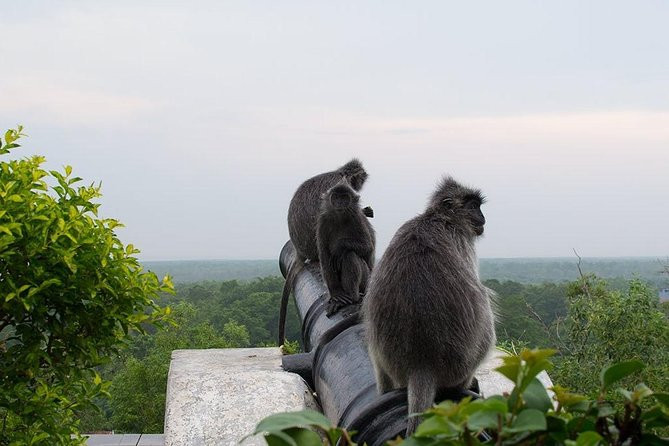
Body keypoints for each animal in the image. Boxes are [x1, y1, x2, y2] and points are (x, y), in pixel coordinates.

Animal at [317, 181, 376, 317]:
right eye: (336, 197)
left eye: (344, 197)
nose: (339, 203)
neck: (340, 218)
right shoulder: (323, 221)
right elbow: (324, 255)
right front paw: (336, 292)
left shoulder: (357, 218)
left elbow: (368, 247)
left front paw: (340, 247)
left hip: (366, 279)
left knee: (349, 255)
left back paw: (352, 296)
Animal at [362, 176, 496, 435]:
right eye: (473, 205)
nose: (482, 217)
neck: (437, 218)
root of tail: (421, 363)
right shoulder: (461, 239)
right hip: (461, 362)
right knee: (484, 305)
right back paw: (467, 383)